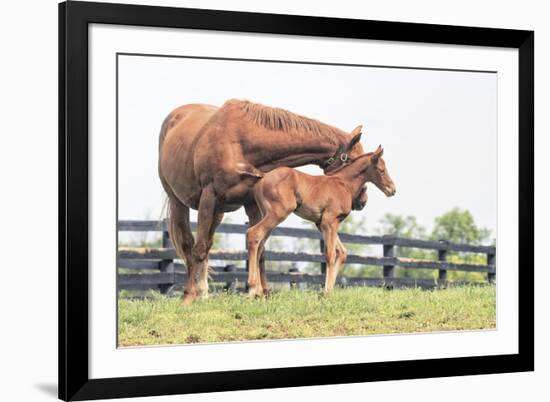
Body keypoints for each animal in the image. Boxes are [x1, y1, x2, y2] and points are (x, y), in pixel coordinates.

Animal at [160, 99, 366, 304]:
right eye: (354, 162)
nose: (362, 200)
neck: (240, 142)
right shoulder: (208, 198)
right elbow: (199, 248)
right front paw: (189, 296)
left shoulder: (252, 204)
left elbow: (260, 250)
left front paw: (263, 292)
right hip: (179, 203)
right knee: (189, 244)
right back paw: (192, 292)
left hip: (218, 212)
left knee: (209, 243)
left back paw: (204, 292)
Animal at [247, 141, 396, 296]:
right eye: (381, 170)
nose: (392, 189)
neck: (343, 183)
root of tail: (262, 179)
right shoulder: (329, 221)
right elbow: (330, 254)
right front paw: (325, 293)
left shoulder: (322, 223)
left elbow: (342, 252)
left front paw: (328, 291)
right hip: (278, 213)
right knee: (253, 234)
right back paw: (252, 289)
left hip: (266, 214)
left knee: (260, 245)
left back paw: (259, 292)